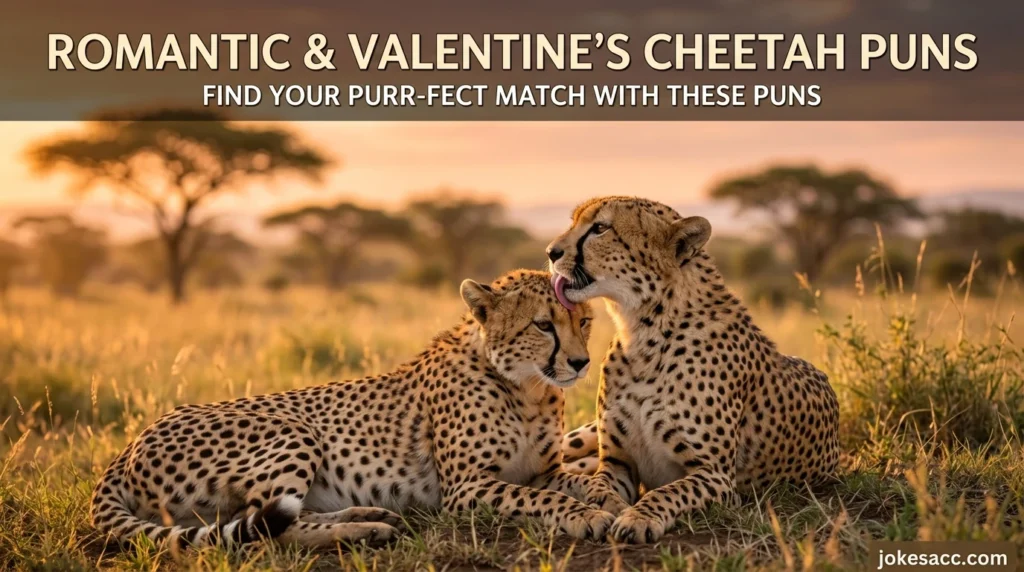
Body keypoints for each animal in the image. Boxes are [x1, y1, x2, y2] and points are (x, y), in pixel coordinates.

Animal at [90, 269, 616, 550]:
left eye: (585, 321)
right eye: (544, 325)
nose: (580, 362)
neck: (527, 387)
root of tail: (129, 445)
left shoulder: (544, 471)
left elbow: (579, 481)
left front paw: (605, 497)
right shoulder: (466, 488)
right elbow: (542, 500)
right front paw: (584, 516)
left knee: (270, 517)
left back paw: (369, 515)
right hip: (292, 429)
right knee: (271, 531)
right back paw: (366, 528)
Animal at [546, 196, 840, 543]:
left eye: (600, 228)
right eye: (574, 222)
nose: (551, 252)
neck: (643, 332)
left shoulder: (715, 476)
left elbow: (666, 492)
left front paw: (638, 518)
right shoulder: (616, 463)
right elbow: (600, 484)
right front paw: (605, 506)